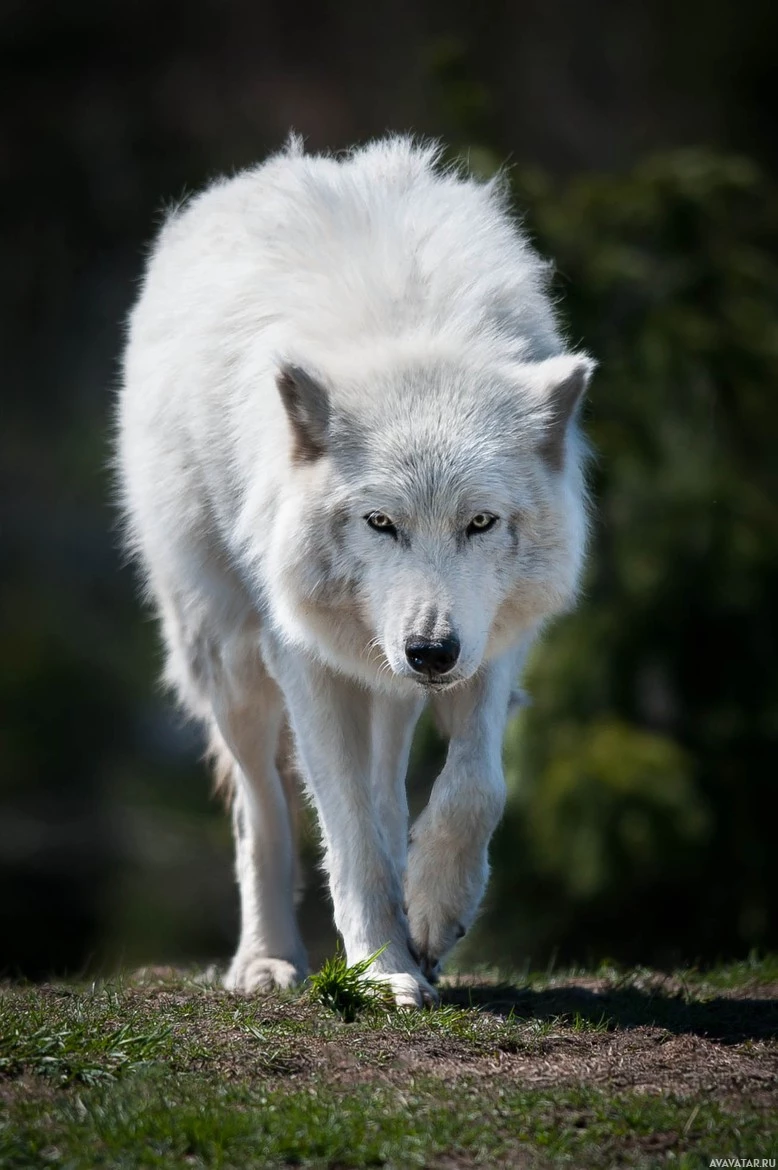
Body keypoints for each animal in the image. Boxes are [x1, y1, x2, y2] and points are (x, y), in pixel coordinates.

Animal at [115, 134, 591, 1006]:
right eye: (381, 523)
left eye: (480, 523)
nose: (430, 652)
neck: (411, 331)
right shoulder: (305, 660)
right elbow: (342, 831)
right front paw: (383, 967)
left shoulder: (492, 642)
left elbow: (476, 788)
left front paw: (432, 914)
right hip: (229, 659)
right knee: (261, 813)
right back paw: (267, 961)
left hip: (382, 676)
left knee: (387, 788)